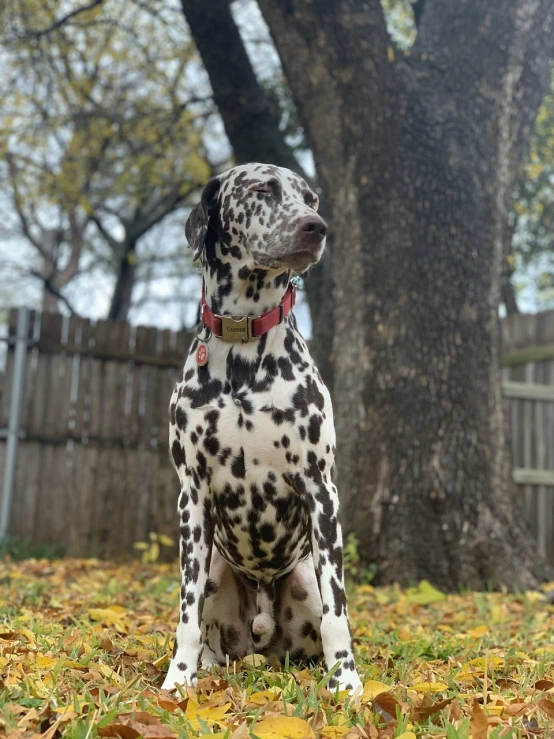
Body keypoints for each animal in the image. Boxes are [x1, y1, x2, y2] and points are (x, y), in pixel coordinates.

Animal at [160, 162, 360, 692]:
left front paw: (347, 681)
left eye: (311, 197)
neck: (243, 348)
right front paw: (178, 677)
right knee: (208, 629)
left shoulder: (320, 490)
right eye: (262, 189)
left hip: (305, 579)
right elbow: (186, 615)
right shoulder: (192, 497)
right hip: (214, 570)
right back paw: (206, 666)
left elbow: (339, 612)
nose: (317, 227)